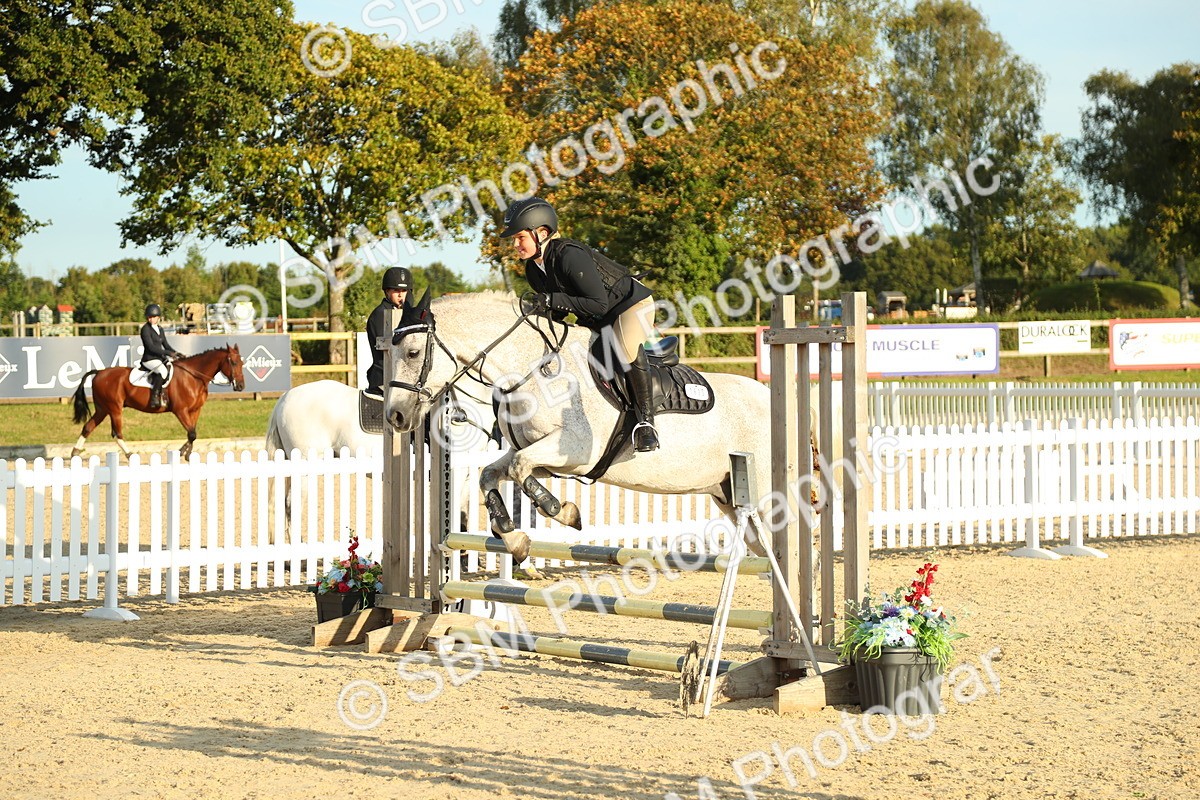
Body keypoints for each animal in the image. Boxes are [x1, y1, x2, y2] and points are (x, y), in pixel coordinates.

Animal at [70, 345, 246, 460]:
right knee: (117, 433)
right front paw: (181, 452)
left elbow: (192, 433)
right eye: (233, 363)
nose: (241, 386)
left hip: (103, 409)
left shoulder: (195, 410)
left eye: (242, 363)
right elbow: (192, 433)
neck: (194, 376)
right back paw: (129, 454)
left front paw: (187, 453)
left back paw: (75, 452)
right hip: (114, 409)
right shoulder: (181, 410)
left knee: (88, 427)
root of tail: (100, 372)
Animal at [383, 291, 816, 562]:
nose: (396, 417)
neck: (530, 368)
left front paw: (563, 511)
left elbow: (521, 471)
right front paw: (516, 538)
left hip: (769, 498)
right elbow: (493, 473)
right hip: (730, 496)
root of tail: (775, 399)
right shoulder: (543, 457)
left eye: (414, 352)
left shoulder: (575, 450)